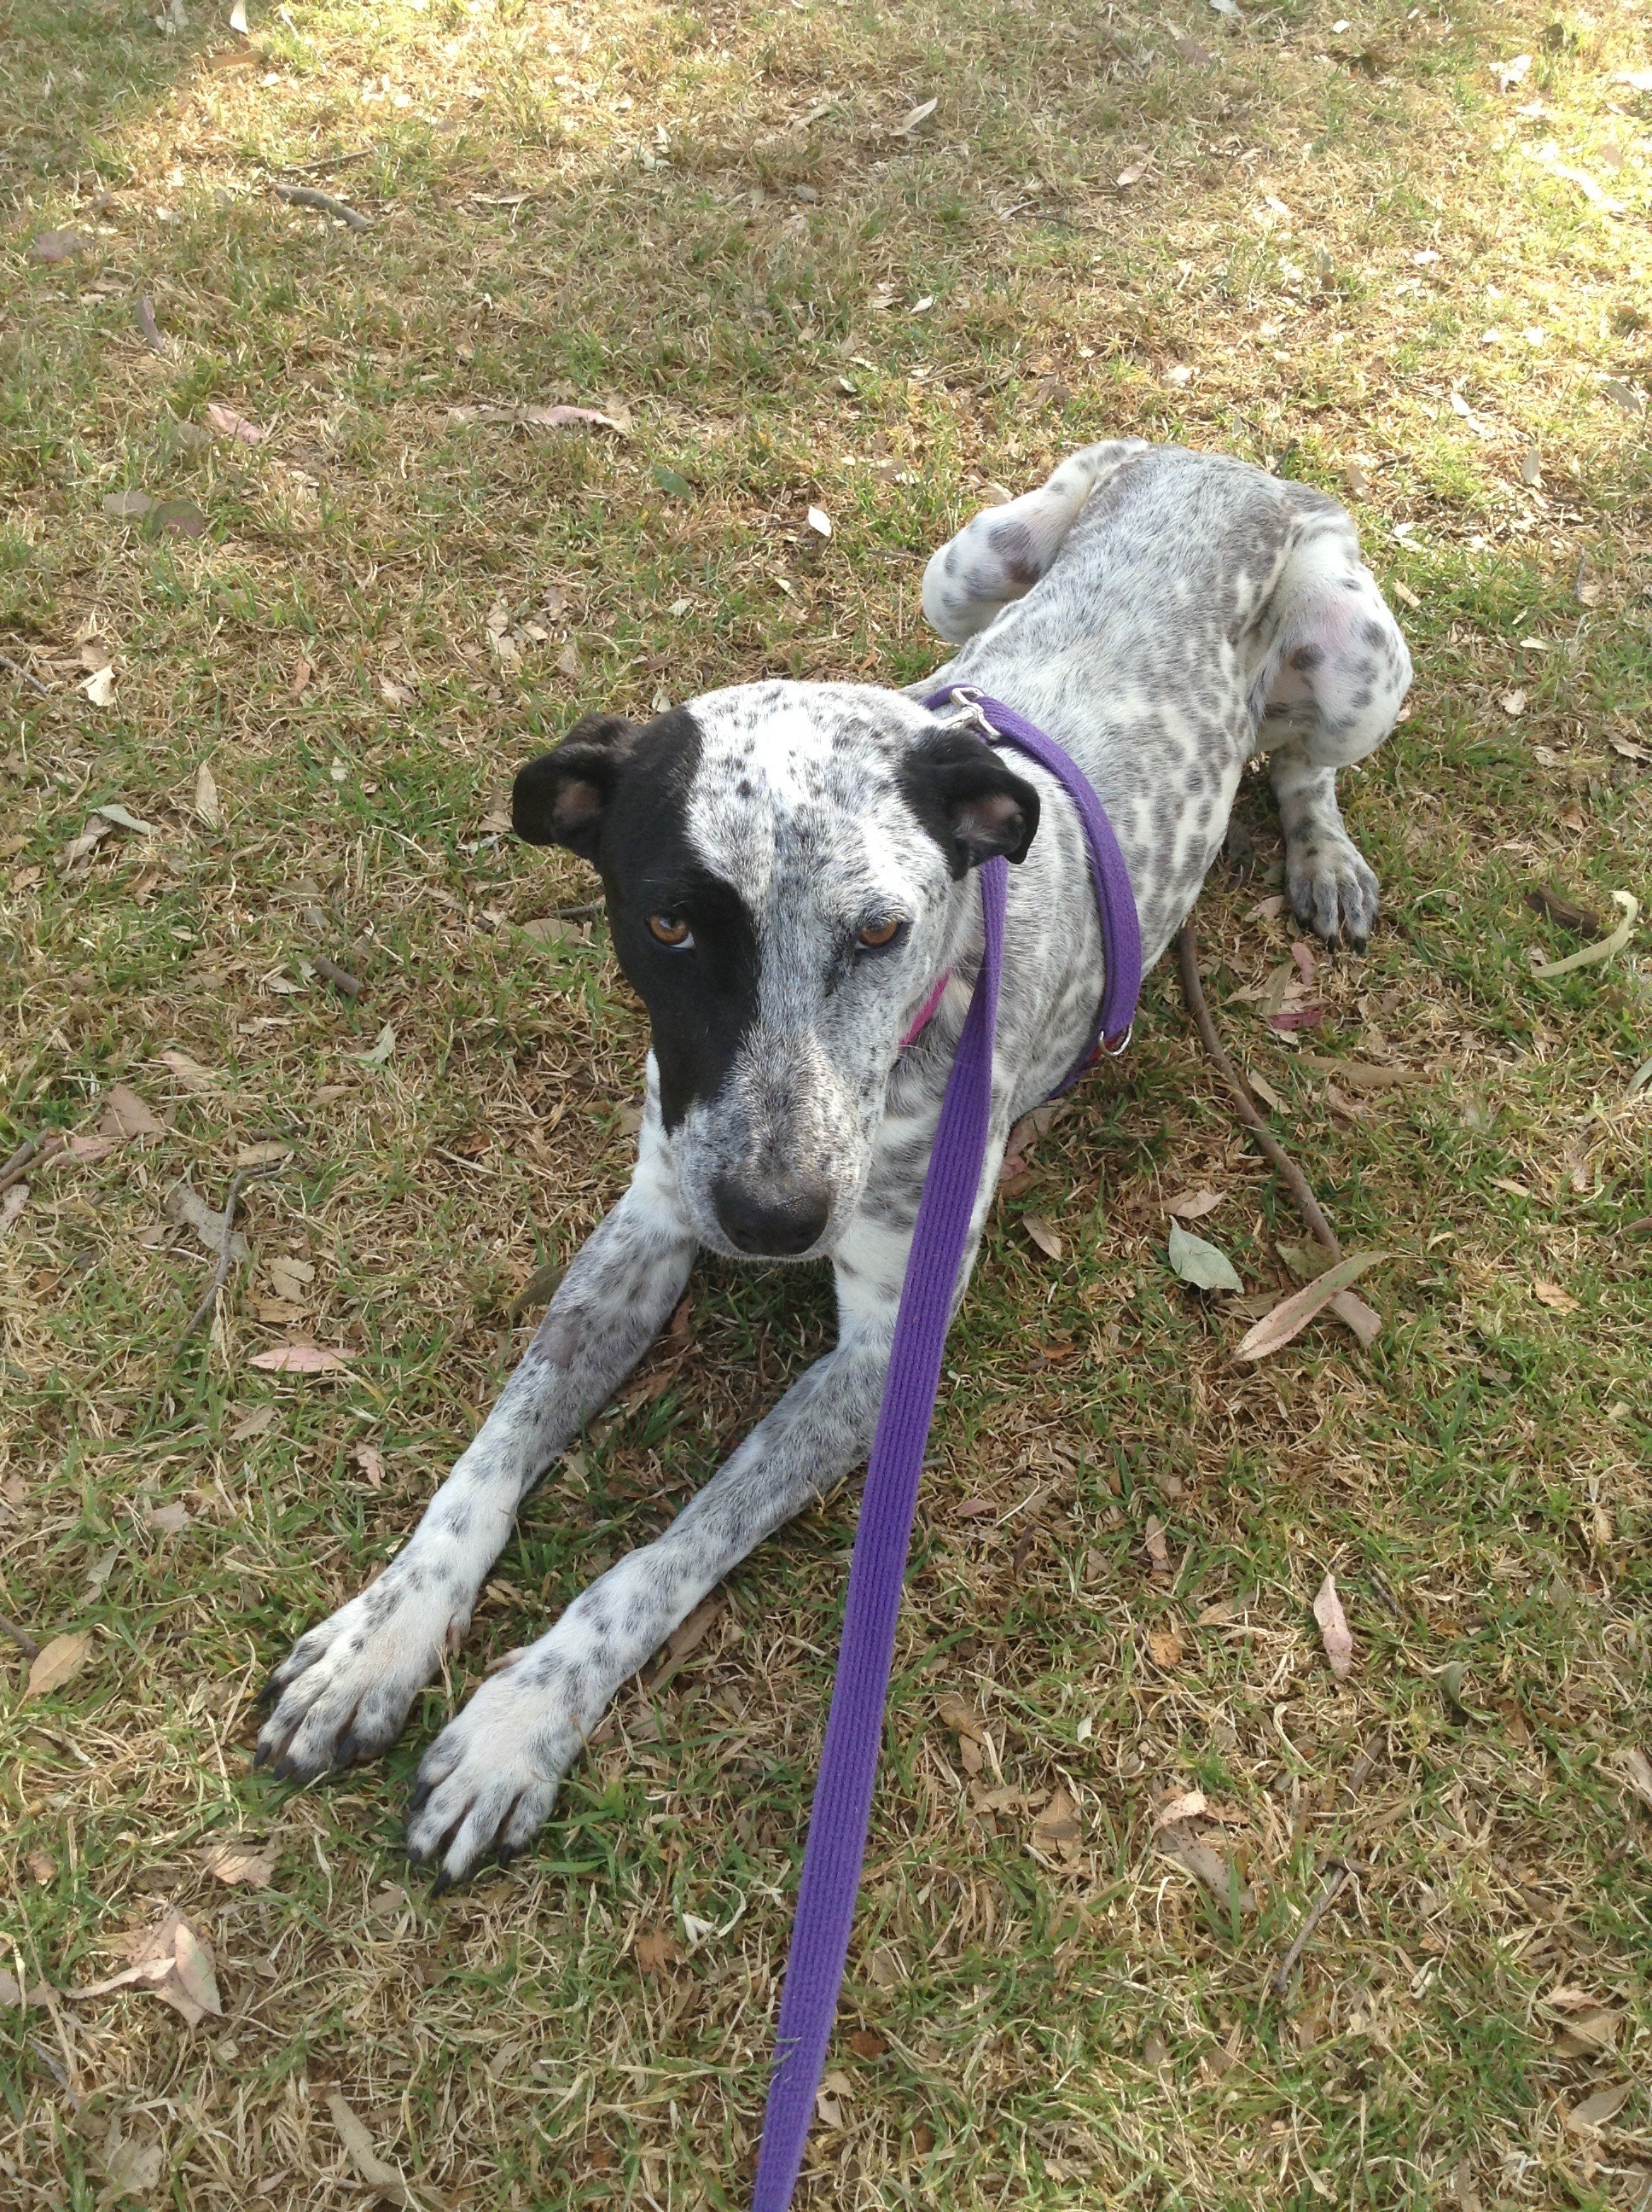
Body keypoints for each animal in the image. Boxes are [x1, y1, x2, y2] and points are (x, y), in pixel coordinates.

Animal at [255, 440, 1411, 1883]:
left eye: (880, 932)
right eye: (668, 925)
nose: (771, 1218)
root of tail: (1221, 457)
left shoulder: (876, 1357)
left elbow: (666, 1551)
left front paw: (525, 1716)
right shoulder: (650, 1221)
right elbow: (495, 1452)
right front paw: (387, 1633)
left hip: (1356, 657)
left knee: (1302, 766)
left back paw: (1326, 854)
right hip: (965, 567)